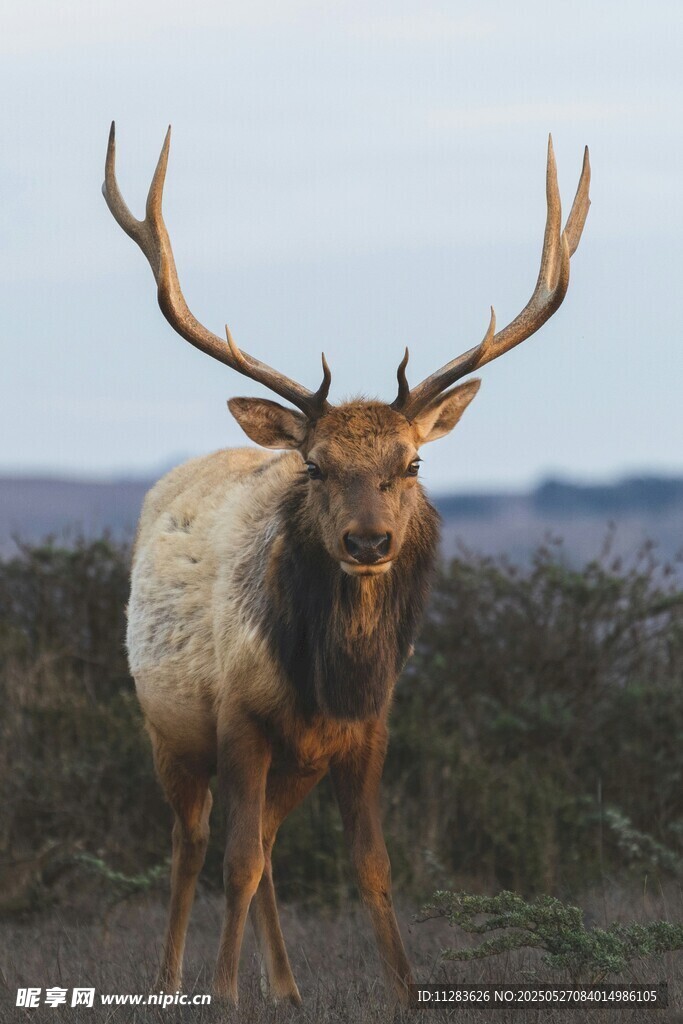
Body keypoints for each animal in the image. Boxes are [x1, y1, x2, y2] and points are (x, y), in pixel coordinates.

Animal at [102, 123, 590, 1007]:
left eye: (411, 463)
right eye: (316, 465)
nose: (368, 543)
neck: (329, 679)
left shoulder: (366, 732)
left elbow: (370, 865)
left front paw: (402, 992)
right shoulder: (239, 719)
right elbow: (233, 861)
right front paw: (221, 996)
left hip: (293, 763)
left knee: (264, 847)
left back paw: (288, 989)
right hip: (169, 729)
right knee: (194, 844)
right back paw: (170, 979)